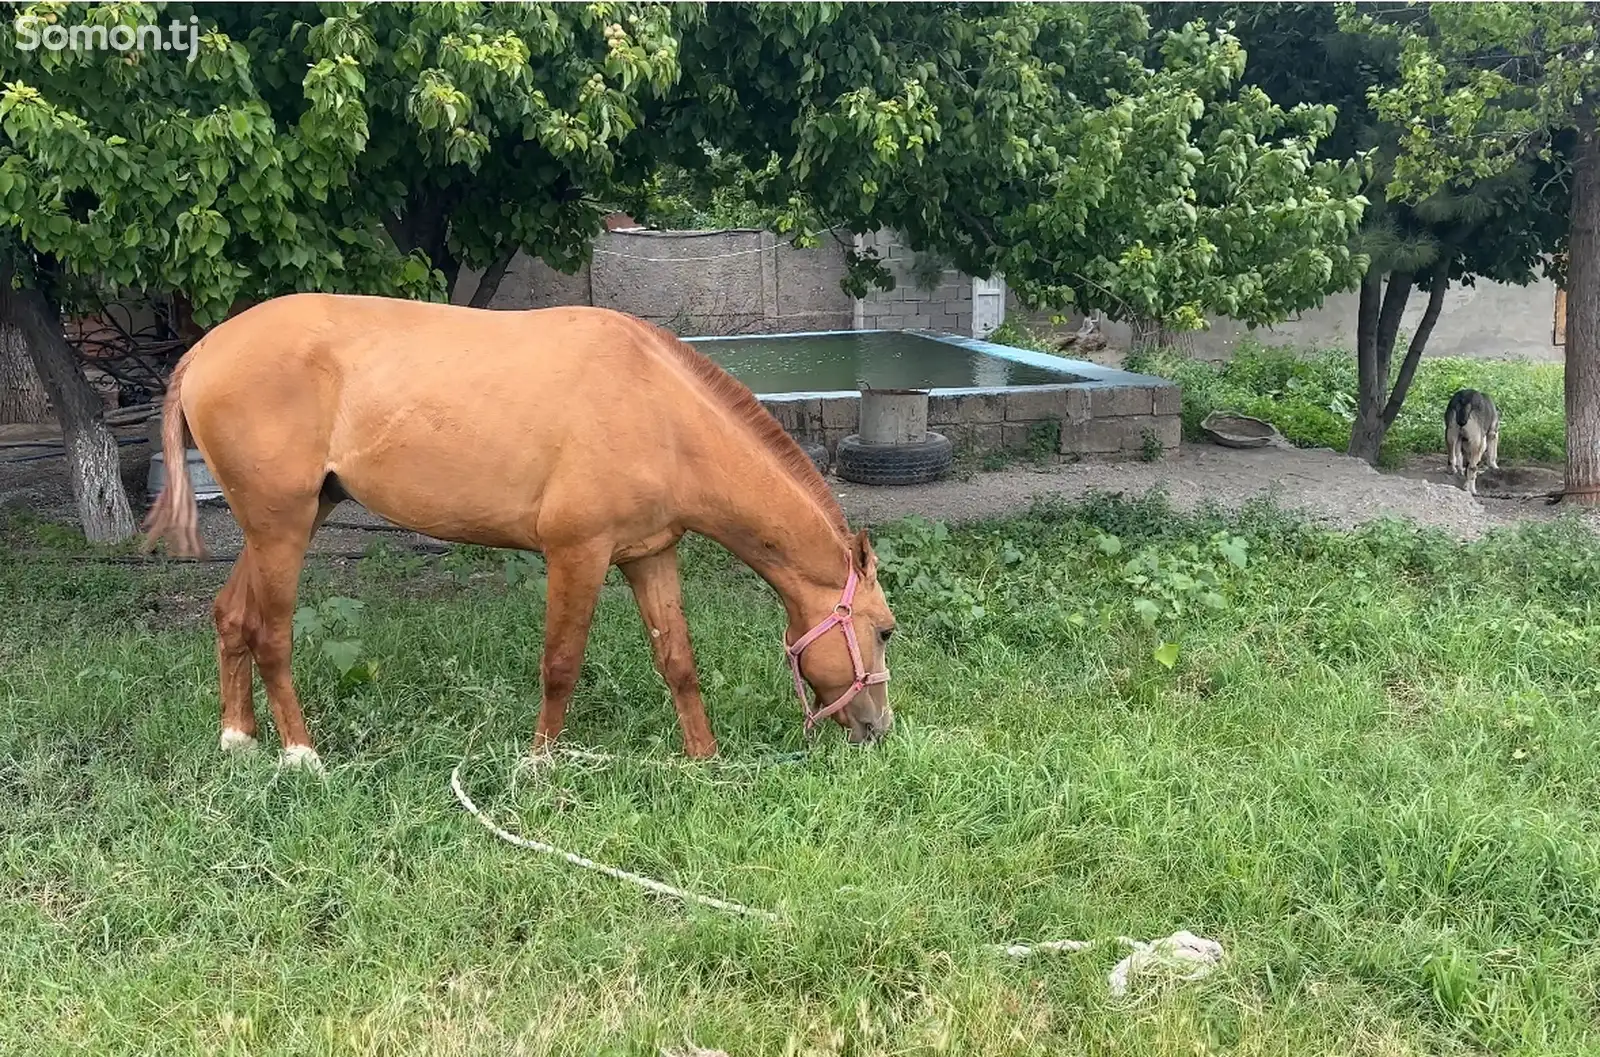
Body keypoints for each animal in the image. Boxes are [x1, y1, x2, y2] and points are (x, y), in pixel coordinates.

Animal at [142, 292, 896, 761]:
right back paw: (302, 756)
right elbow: (560, 665)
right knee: (270, 635)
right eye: (885, 630)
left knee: (230, 616)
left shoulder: (649, 555)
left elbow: (678, 662)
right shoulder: (576, 553)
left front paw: (704, 759)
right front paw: (540, 764)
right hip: (283, 528)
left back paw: (239, 739)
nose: (880, 727)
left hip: (287, 520)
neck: (658, 409)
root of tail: (204, 351)